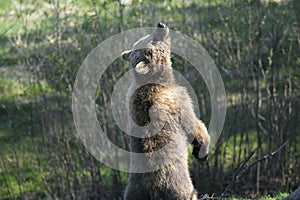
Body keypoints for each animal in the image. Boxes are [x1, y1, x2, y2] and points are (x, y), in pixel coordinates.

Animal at [120, 22, 210, 200]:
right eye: (152, 39)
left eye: (147, 35)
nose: (160, 25)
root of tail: (153, 187)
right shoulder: (180, 99)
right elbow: (194, 124)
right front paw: (202, 151)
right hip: (178, 184)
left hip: (134, 189)